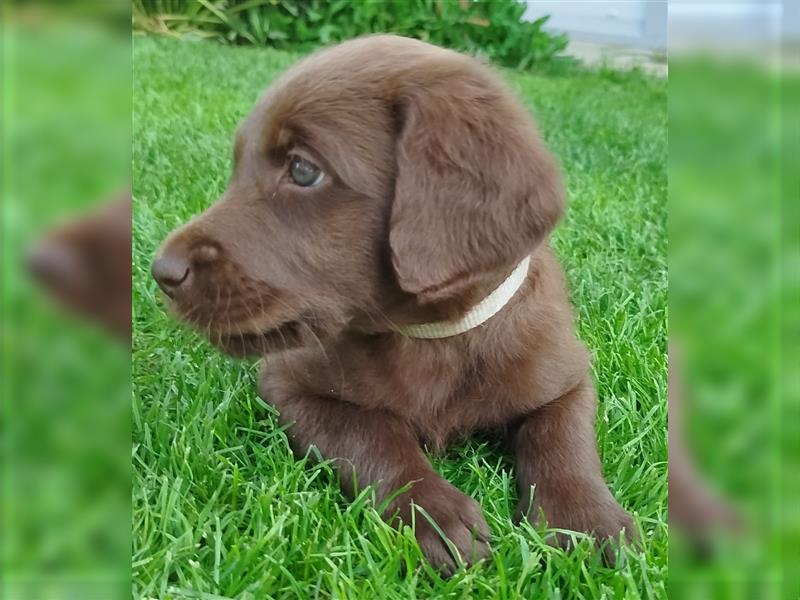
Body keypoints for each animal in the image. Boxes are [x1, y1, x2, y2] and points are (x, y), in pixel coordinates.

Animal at [153, 35, 636, 568]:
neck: (430, 337)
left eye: (303, 169)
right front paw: (431, 513)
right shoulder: (291, 385)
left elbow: (562, 438)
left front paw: (584, 520)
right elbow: (372, 433)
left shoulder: (566, 374)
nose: (162, 272)